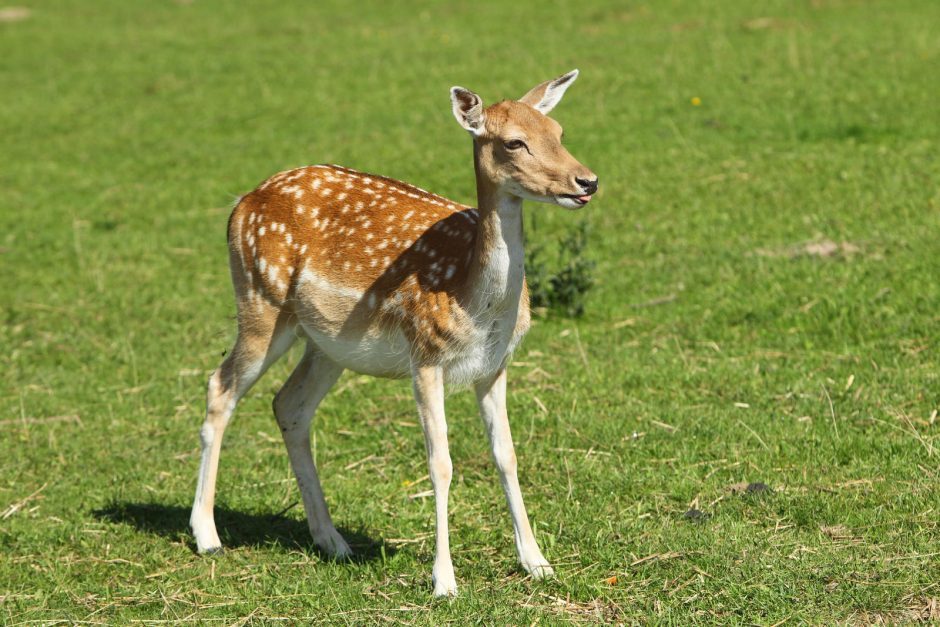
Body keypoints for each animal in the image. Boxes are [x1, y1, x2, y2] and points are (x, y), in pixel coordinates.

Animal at [191, 71, 600, 596]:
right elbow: (440, 462)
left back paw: (332, 540)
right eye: (514, 142)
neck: (474, 300)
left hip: (327, 344)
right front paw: (444, 581)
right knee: (220, 386)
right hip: (260, 300)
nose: (587, 181)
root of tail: (240, 204)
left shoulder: (496, 365)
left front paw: (537, 562)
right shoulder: (424, 355)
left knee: (289, 404)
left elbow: (506, 455)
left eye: (558, 130)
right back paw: (207, 535)